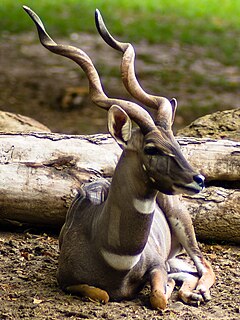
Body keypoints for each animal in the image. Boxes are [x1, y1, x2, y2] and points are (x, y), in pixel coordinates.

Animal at [23, 6, 216, 308]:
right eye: (151, 148)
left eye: (176, 141)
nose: (199, 179)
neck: (114, 256)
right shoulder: (66, 280)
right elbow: (102, 294)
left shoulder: (157, 265)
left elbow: (158, 297)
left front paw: (169, 289)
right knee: (189, 270)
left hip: (182, 222)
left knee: (204, 265)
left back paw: (198, 292)